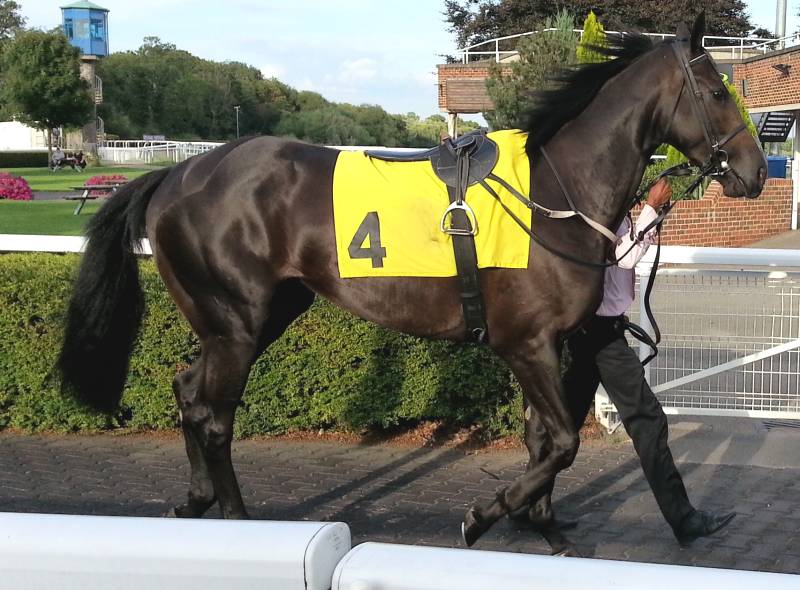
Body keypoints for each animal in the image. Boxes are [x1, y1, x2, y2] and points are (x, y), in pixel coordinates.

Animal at [58, 14, 766, 552]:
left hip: (259, 314)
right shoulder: (525, 342)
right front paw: (485, 514)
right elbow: (562, 440)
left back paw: (196, 499)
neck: (553, 192)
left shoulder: (551, 342)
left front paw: (539, 521)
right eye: (718, 91)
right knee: (214, 415)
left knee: (187, 390)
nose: (756, 171)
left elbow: (544, 437)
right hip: (236, 321)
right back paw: (235, 519)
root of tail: (176, 176)